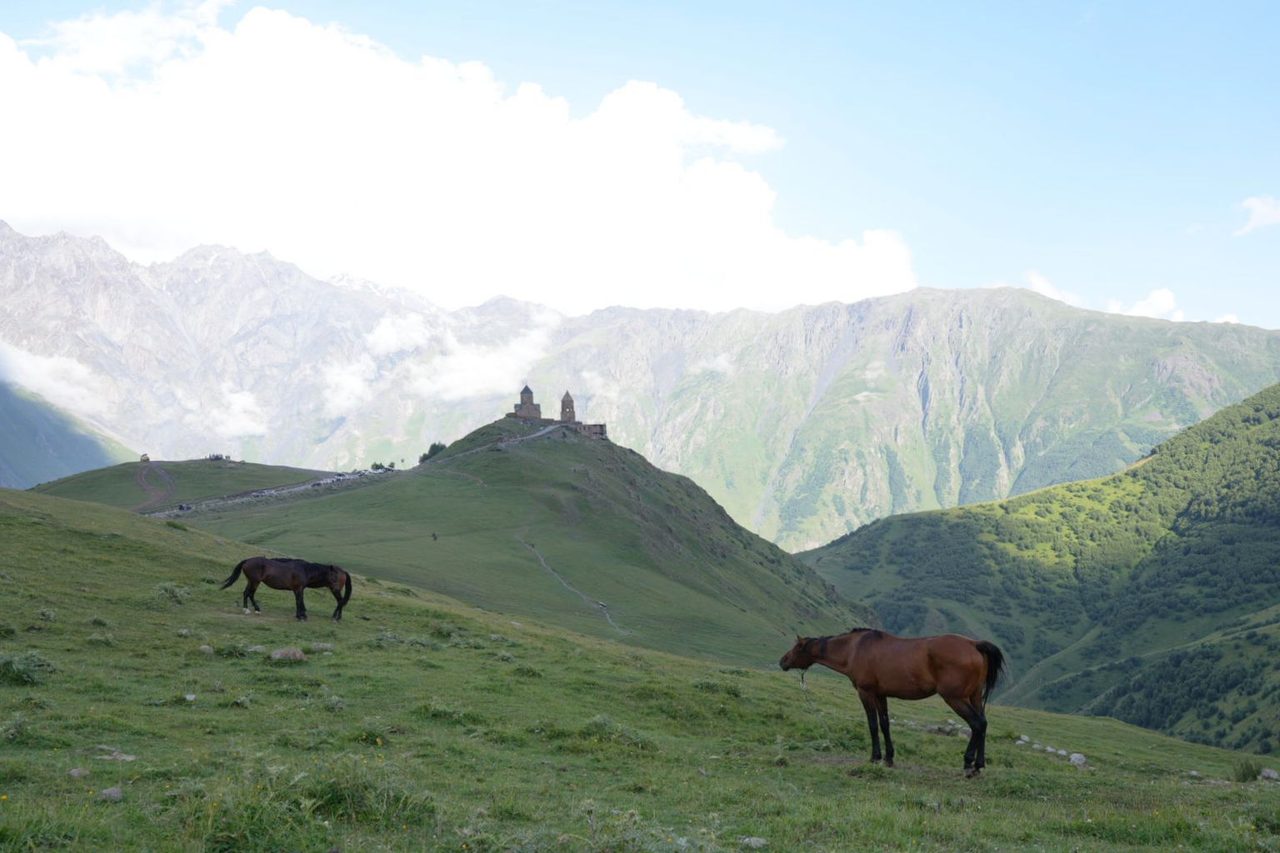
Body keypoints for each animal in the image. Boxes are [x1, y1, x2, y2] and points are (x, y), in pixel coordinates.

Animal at [219, 556, 353, 621]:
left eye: (337, 577)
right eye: (333, 576)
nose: (337, 587)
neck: (305, 570)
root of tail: (247, 560)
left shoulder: (298, 589)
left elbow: (300, 601)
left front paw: (302, 615)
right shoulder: (298, 588)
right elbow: (299, 601)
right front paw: (300, 616)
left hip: (252, 581)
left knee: (247, 593)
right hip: (254, 581)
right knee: (249, 593)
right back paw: (248, 609)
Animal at [779, 628, 1005, 777]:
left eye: (796, 648)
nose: (782, 661)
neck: (854, 648)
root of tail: (974, 644)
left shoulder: (866, 693)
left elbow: (872, 725)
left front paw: (875, 757)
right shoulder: (881, 695)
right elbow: (885, 724)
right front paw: (889, 758)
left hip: (956, 698)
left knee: (976, 724)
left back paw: (968, 764)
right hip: (974, 696)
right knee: (983, 724)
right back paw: (978, 765)